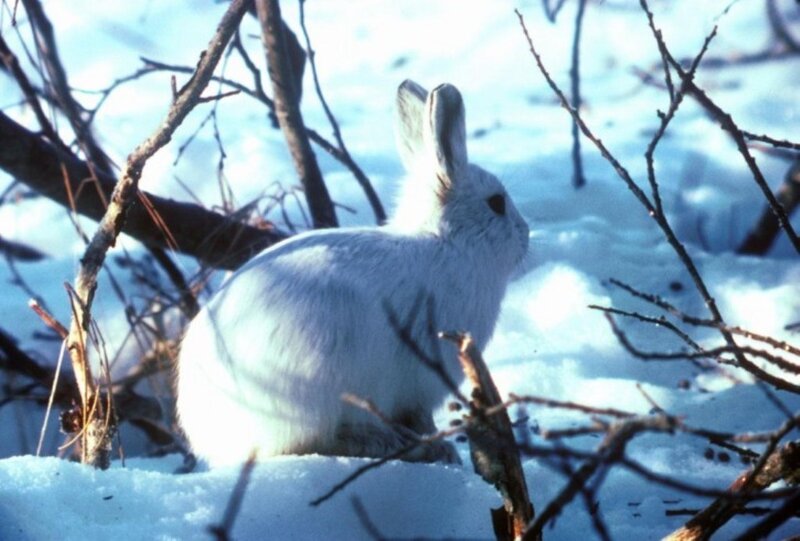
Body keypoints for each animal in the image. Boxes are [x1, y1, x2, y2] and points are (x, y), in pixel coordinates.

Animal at [176, 80, 529, 467]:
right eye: (496, 203)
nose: (526, 236)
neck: (447, 242)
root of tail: (218, 437)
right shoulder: (422, 379)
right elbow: (421, 417)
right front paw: (440, 446)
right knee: (309, 443)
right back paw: (391, 444)